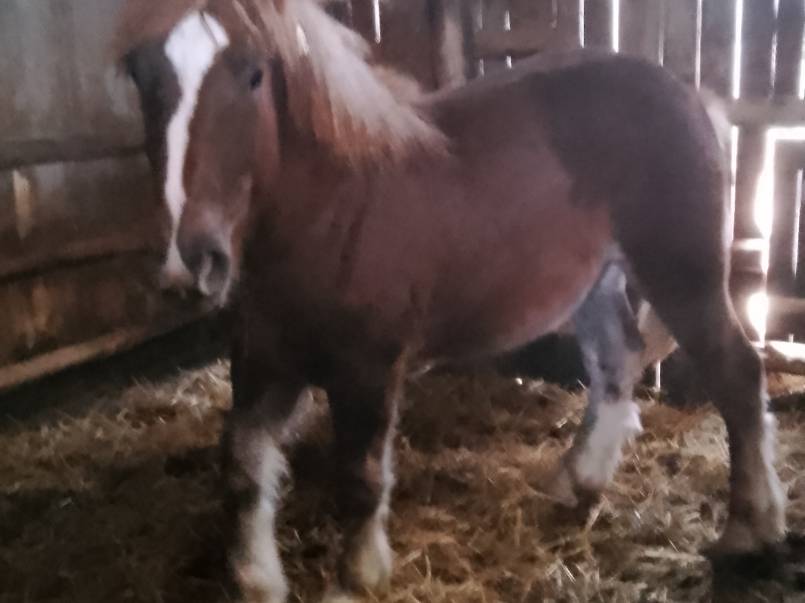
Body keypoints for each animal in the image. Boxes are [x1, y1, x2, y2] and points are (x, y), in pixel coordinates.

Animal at [115, 0, 786, 600]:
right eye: (143, 75)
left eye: (253, 73)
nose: (193, 260)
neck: (329, 213)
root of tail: (690, 93)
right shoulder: (265, 361)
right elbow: (242, 463)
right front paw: (258, 579)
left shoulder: (367, 368)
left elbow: (359, 477)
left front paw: (356, 581)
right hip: (595, 283)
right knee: (617, 362)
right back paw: (579, 481)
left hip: (683, 274)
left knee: (737, 374)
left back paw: (750, 529)